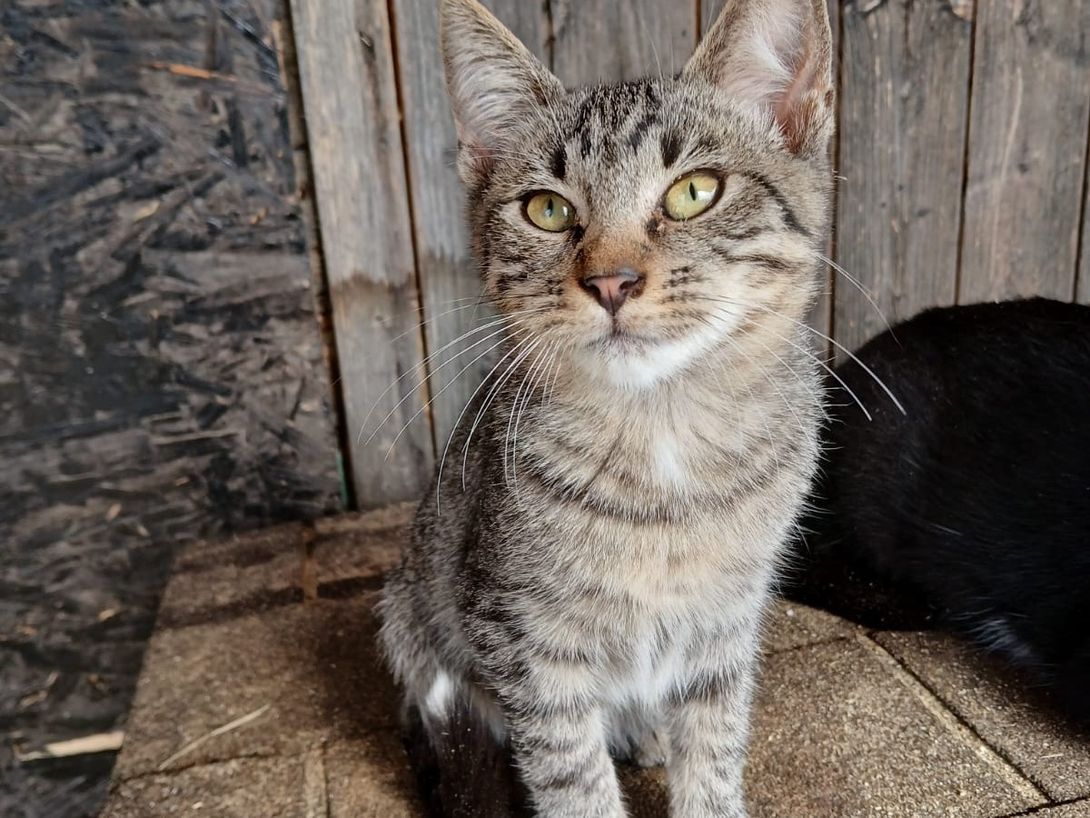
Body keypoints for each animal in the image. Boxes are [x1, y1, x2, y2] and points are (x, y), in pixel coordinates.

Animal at [378, 1, 836, 816]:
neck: (661, 438)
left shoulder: (727, 620)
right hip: (408, 616)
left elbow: (714, 743)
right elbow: (570, 773)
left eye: (695, 192)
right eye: (547, 209)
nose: (611, 281)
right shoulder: (518, 635)